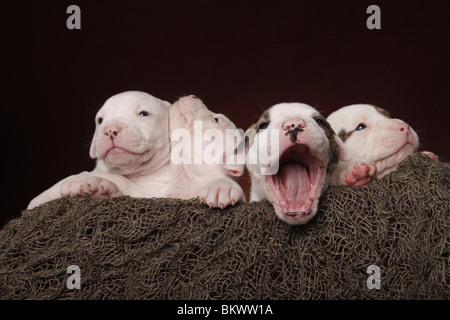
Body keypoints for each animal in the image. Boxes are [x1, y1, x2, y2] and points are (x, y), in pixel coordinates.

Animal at [27, 90, 172, 210]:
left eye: (143, 114)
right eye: (100, 120)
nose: (110, 130)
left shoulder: (157, 193)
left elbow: (122, 180)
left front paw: (90, 182)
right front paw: (41, 199)